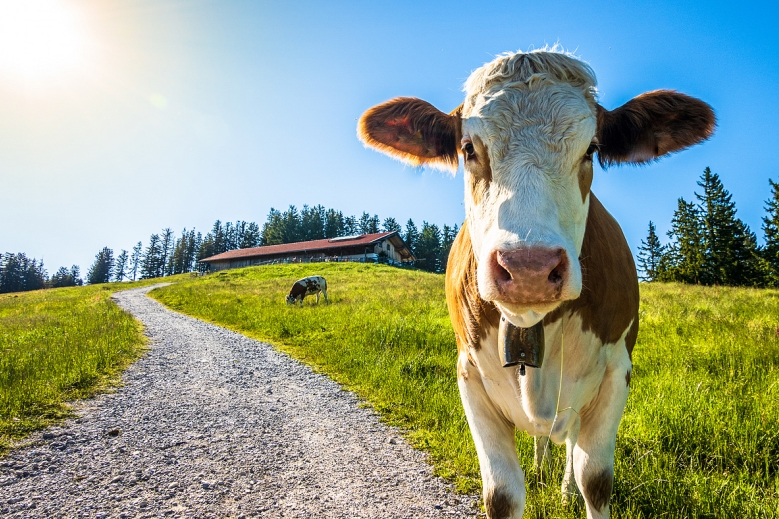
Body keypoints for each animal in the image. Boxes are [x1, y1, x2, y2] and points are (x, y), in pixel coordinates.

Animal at [356, 46, 716, 516]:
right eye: (468, 149)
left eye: (591, 149)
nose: (528, 268)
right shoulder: (469, 376)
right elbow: (502, 493)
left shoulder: (616, 372)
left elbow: (594, 478)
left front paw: (575, 490)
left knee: (571, 445)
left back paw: (562, 488)